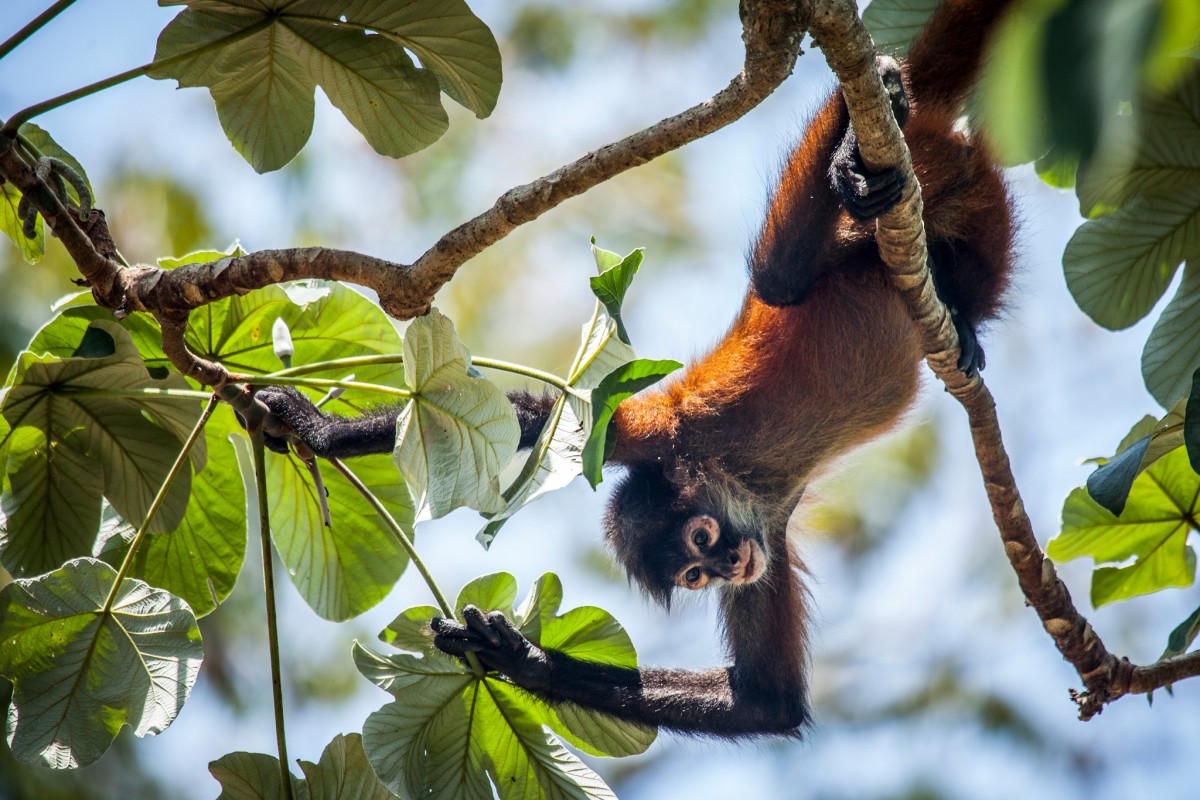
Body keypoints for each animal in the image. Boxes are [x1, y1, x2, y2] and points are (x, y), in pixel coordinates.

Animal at [253, 0, 1012, 738]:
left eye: (702, 542)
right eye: (695, 573)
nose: (727, 567)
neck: (742, 482)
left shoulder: (670, 438)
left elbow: (540, 420)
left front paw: (312, 428)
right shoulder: (767, 533)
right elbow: (765, 703)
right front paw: (519, 660)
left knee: (780, 275)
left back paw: (863, 150)